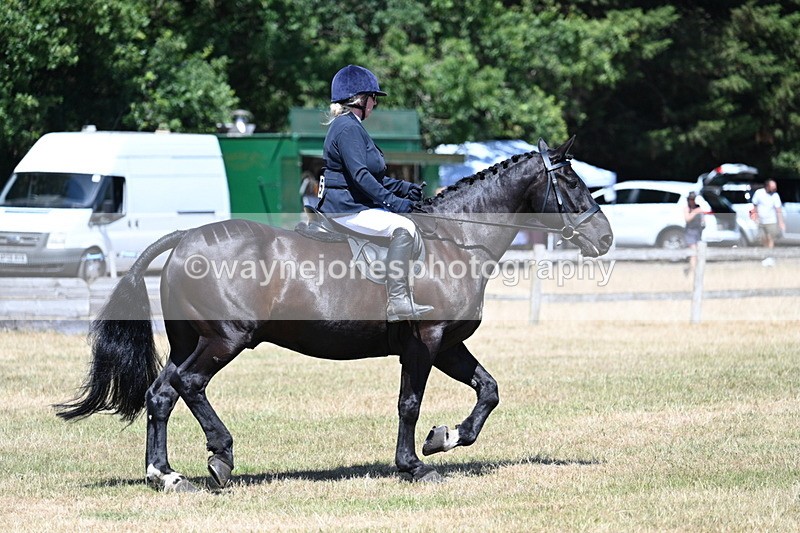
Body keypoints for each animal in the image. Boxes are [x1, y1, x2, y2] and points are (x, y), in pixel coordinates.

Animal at [56, 138, 613, 491]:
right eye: (571, 182)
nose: (605, 238)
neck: (456, 240)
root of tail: (185, 238)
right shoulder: (426, 342)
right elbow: (409, 403)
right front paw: (413, 464)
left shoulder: (448, 344)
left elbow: (488, 390)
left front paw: (446, 438)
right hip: (225, 340)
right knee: (189, 386)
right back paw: (220, 455)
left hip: (189, 341)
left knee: (162, 394)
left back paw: (165, 475)